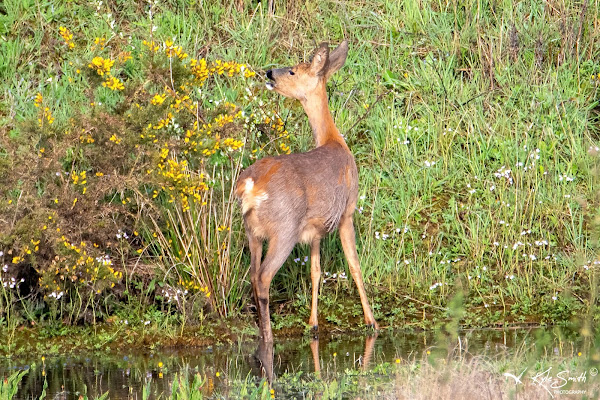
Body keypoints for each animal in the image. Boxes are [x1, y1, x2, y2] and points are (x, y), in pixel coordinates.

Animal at [237, 40, 378, 342]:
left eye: (292, 70)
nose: (269, 73)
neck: (334, 141)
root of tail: (250, 185)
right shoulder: (347, 211)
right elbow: (355, 265)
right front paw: (371, 321)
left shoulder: (315, 230)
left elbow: (315, 270)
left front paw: (313, 324)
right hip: (283, 228)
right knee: (263, 276)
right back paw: (269, 336)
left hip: (252, 230)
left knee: (253, 275)